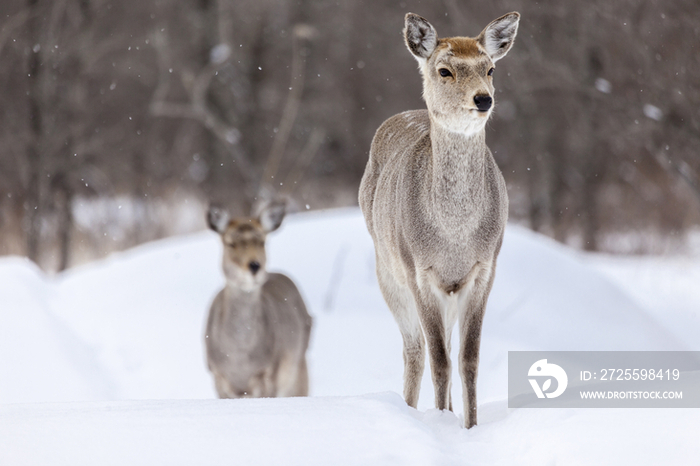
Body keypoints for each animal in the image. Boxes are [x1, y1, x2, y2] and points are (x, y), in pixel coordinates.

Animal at [202, 202, 312, 398]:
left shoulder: (269, 373)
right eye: (230, 243)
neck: (239, 358)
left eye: (262, 241)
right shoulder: (217, 375)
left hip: (298, 365)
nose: (254, 266)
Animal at [360, 10, 520, 428]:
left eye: (490, 68)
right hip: (388, 271)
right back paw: (411, 408)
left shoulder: (484, 268)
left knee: (441, 344)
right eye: (444, 70)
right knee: (414, 350)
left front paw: (469, 425)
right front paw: (443, 424)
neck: (454, 235)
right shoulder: (419, 270)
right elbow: (439, 360)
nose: (483, 98)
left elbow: (468, 359)